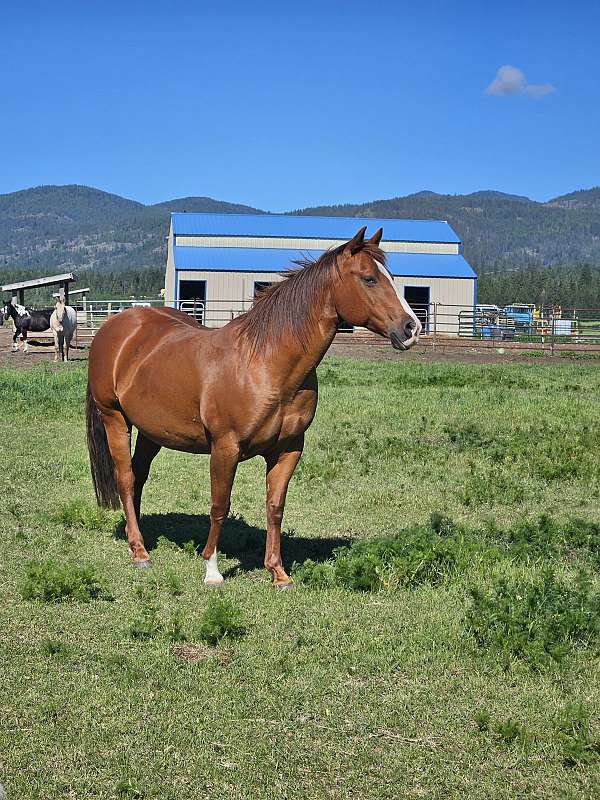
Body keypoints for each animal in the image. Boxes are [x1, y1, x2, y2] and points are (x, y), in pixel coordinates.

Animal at [86, 227, 422, 587]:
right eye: (369, 278)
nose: (411, 328)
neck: (265, 363)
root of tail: (117, 325)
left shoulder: (288, 449)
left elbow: (275, 506)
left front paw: (278, 572)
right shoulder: (225, 447)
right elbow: (220, 505)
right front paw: (212, 570)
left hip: (152, 431)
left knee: (138, 476)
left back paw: (138, 538)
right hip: (115, 418)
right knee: (125, 478)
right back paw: (139, 552)